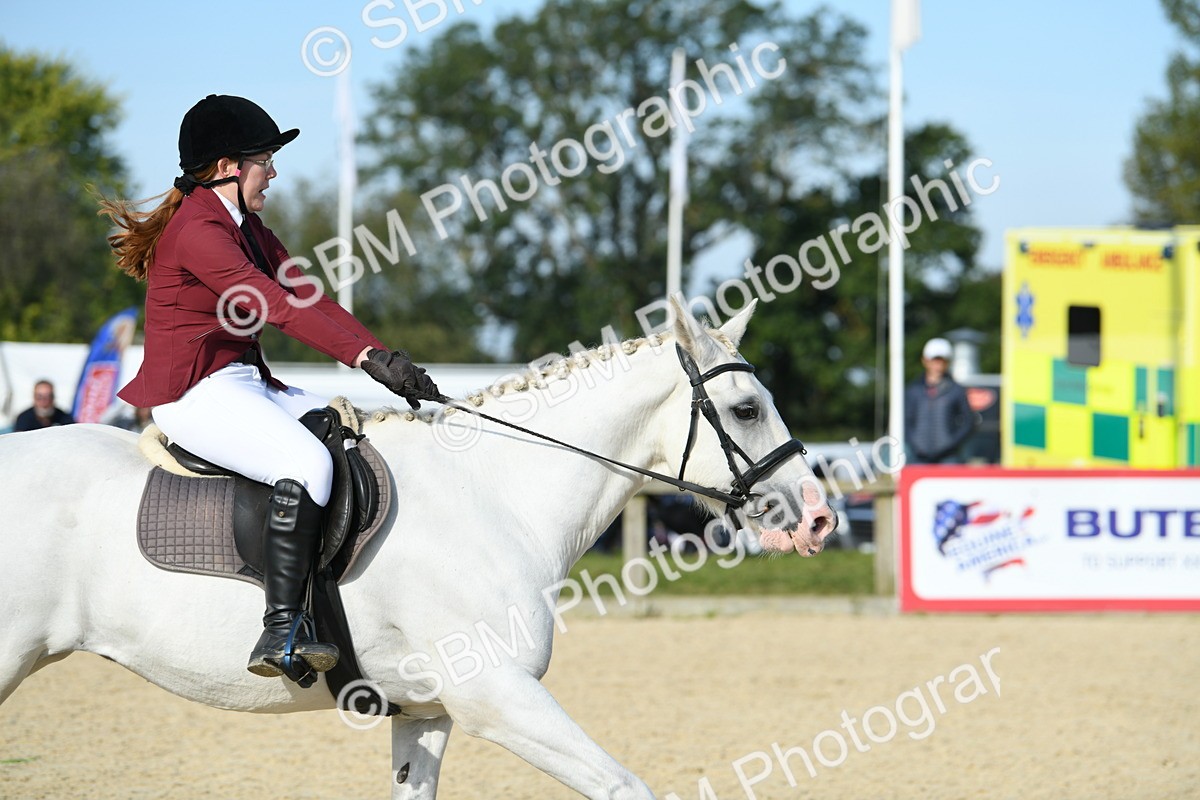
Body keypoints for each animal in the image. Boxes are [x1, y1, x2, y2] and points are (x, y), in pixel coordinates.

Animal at [0, 300, 836, 799]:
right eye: (746, 409)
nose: (821, 517)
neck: (493, 493)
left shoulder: (426, 713)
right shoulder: (497, 697)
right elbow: (624, 786)